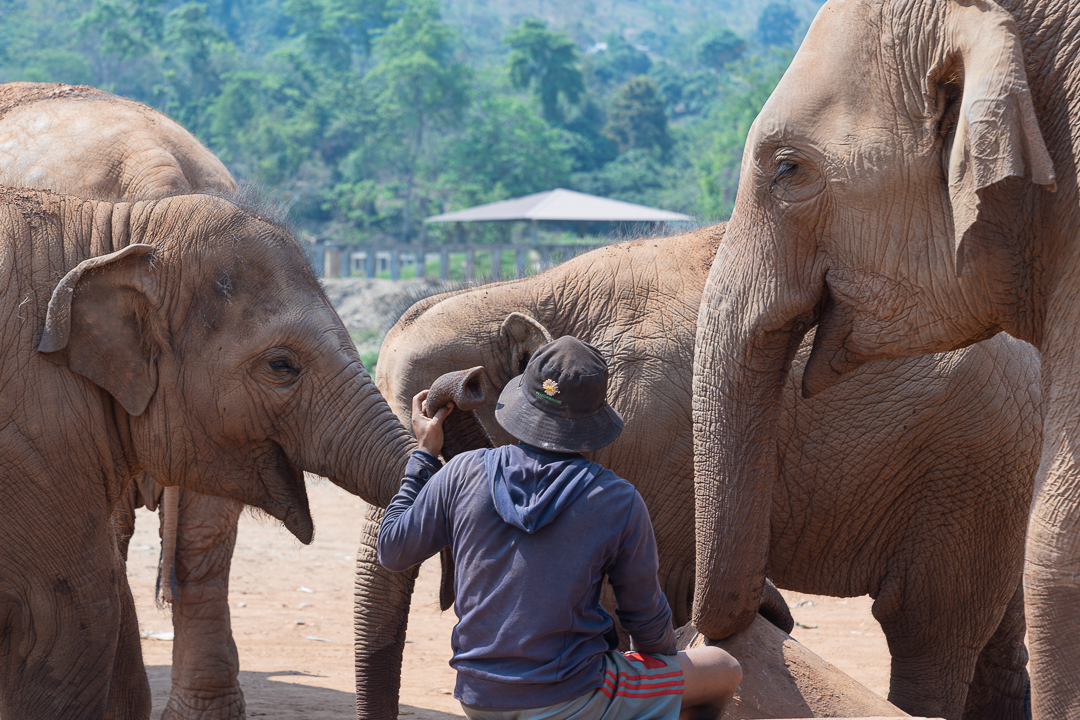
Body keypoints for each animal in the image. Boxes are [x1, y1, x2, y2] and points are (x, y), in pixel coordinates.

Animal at [368, 225, 1040, 720]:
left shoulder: (655, 436)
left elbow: (645, 595)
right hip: (995, 477)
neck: (533, 290)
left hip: (968, 469)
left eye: (454, 408)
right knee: (995, 640)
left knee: (928, 631)